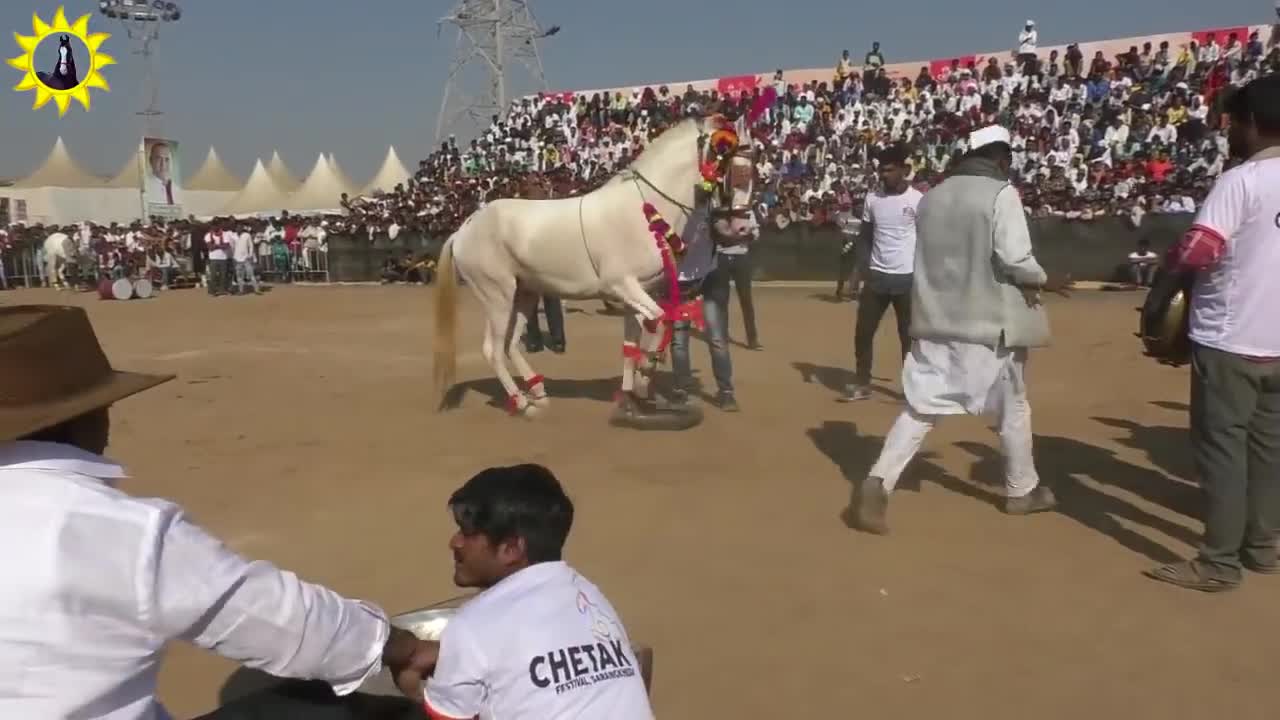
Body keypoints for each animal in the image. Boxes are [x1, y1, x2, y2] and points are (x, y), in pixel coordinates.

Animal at [435, 112, 752, 415]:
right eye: (734, 170)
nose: (740, 227)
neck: (641, 209)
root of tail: (464, 228)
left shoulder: (637, 294)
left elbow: (632, 343)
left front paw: (631, 397)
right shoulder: (622, 286)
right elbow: (661, 322)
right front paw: (644, 377)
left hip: (525, 293)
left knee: (511, 345)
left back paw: (538, 393)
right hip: (496, 295)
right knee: (492, 349)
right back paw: (522, 403)